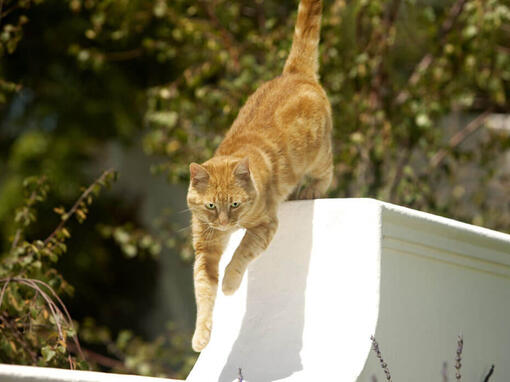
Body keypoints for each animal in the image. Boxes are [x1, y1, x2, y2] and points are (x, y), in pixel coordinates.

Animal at [185, 0, 332, 352]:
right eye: (211, 206)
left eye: (235, 204)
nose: (226, 222)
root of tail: (294, 73)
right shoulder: (205, 249)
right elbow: (203, 292)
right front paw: (202, 334)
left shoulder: (265, 226)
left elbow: (240, 254)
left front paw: (229, 283)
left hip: (319, 155)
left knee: (328, 172)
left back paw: (312, 190)